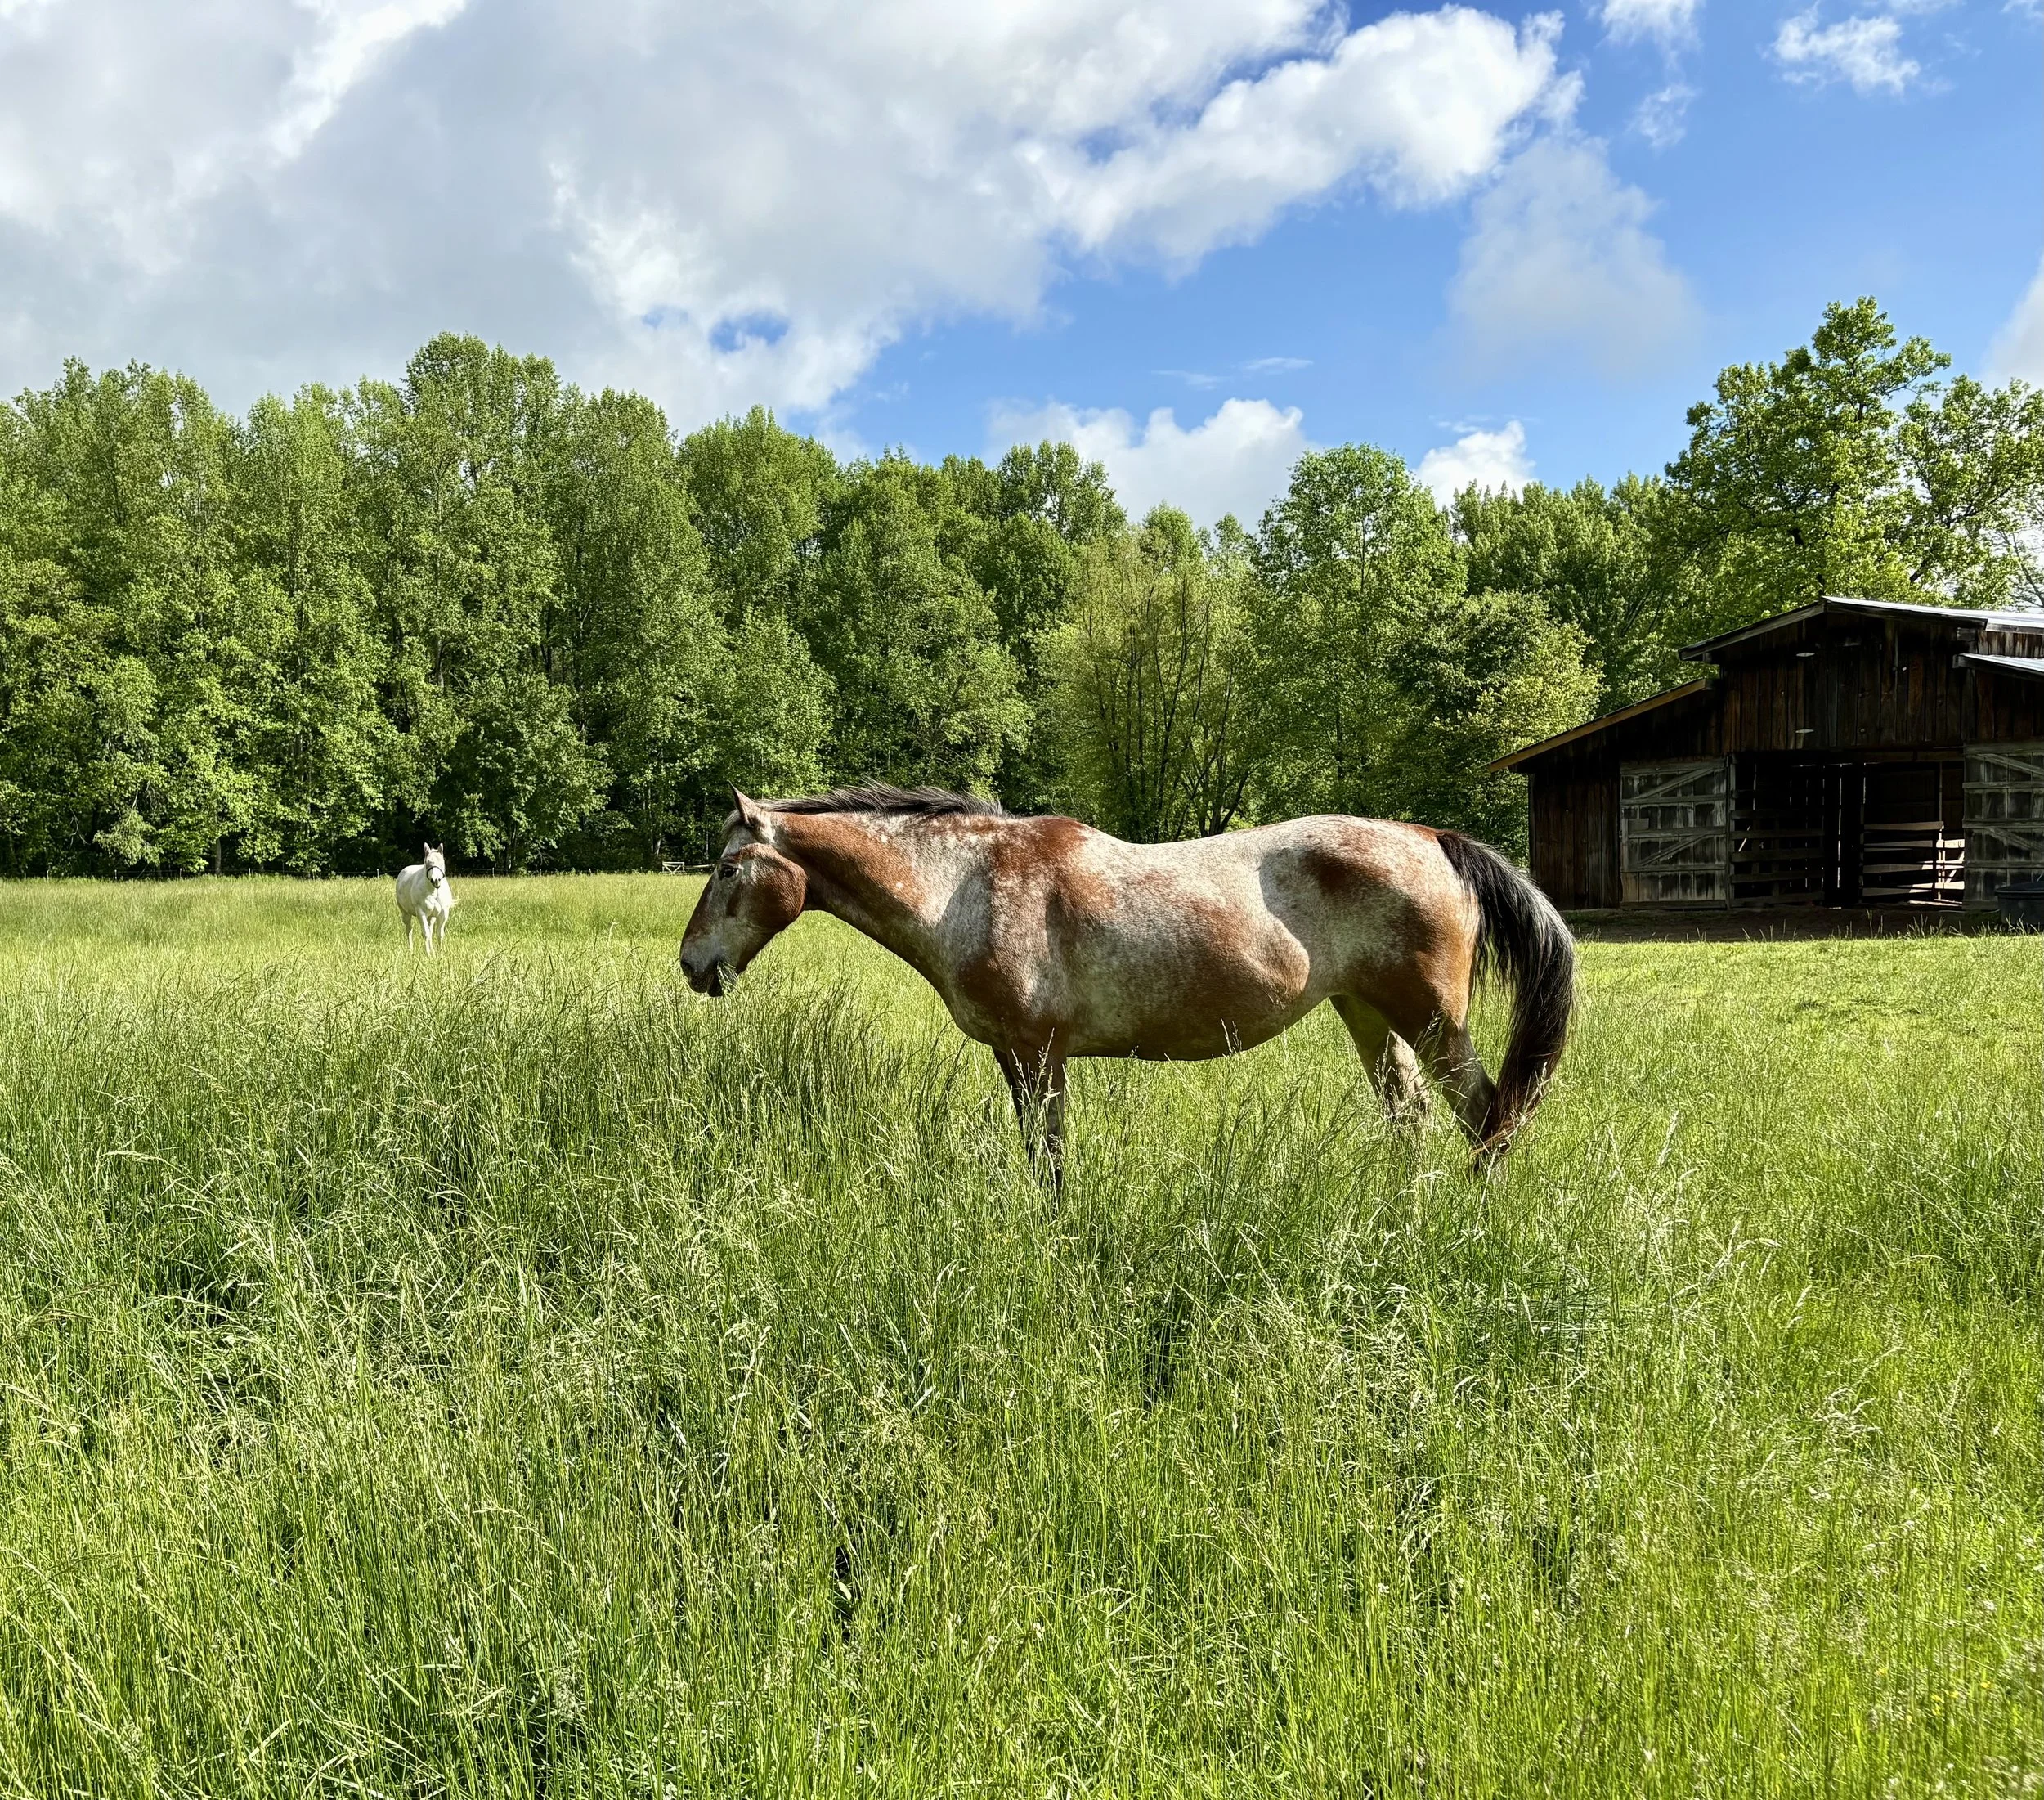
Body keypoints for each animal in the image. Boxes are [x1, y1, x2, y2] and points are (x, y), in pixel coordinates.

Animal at [395, 844, 456, 952]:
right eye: (427, 863)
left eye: (442, 862)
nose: (436, 880)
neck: (434, 892)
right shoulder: (421, 913)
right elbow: (426, 934)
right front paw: (427, 953)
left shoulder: (443, 914)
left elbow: (439, 934)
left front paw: (440, 953)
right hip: (405, 913)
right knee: (409, 930)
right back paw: (411, 950)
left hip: (431, 917)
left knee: (430, 930)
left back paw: (433, 951)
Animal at [678, 786, 1575, 1181]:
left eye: (726, 869)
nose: (692, 963)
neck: (969, 883)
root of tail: (1431, 836)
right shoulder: (1015, 1058)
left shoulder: (1038, 1054)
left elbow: (1049, 1161)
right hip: (1367, 1014)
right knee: (1412, 1117)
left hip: (1430, 1019)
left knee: (1486, 1118)